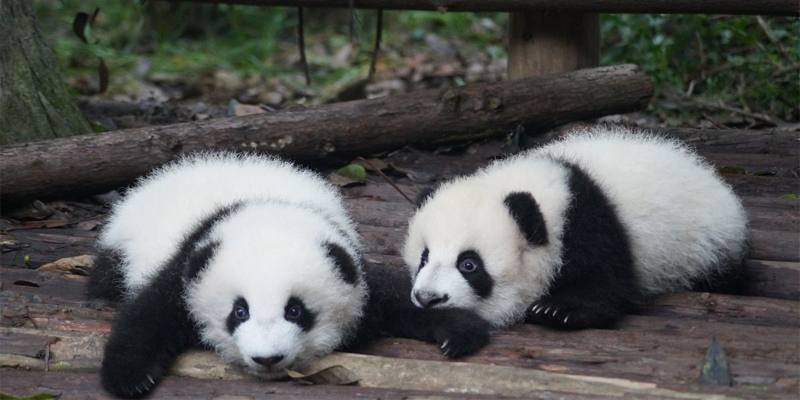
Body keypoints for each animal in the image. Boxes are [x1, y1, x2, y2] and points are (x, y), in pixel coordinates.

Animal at [86, 152, 488, 396]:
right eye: (240, 312)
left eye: (295, 310)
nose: (267, 359)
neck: (268, 209)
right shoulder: (190, 262)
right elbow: (149, 313)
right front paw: (130, 377)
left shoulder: (349, 262)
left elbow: (395, 297)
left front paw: (458, 330)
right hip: (121, 245)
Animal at [406, 127, 752, 332]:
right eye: (424, 258)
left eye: (469, 264)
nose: (427, 298)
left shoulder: (588, 223)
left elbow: (607, 282)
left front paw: (556, 310)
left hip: (708, 245)